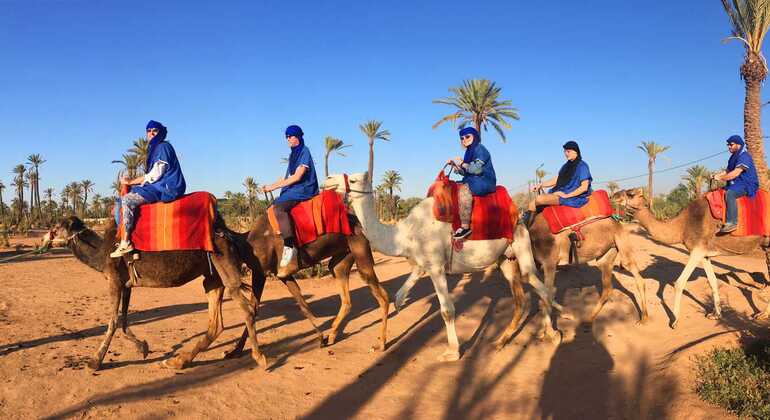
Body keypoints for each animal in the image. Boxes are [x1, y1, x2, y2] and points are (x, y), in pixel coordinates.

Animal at [45, 215, 268, 370]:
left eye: (57, 227)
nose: (46, 236)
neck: (101, 253)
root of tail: (231, 235)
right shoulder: (127, 284)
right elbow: (124, 320)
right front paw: (143, 348)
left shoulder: (115, 281)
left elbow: (113, 321)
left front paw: (95, 362)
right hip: (212, 276)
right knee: (217, 323)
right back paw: (178, 361)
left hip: (223, 262)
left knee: (247, 308)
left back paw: (258, 357)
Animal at [320, 172, 560, 362]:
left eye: (353, 179)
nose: (328, 179)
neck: (406, 233)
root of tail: (519, 215)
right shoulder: (421, 263)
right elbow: (399, 293)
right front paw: (390, 324)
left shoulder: (436, 266)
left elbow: (447, 310)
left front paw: (452, 352)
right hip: (505, 258)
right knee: (522, 297)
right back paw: (502, 341)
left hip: (520, 242)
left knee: (537, 283)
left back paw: (555, 330)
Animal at [524, 210, 652, 338]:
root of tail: (617, 222)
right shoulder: (539, 266)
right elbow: (542, 293)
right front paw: (544, 331)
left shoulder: (549, 262)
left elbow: (546, 295)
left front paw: (551, 333)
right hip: (606, 255)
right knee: (608, 287)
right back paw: (588, 319)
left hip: (620, 242)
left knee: (637, 277)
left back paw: (643, 319)